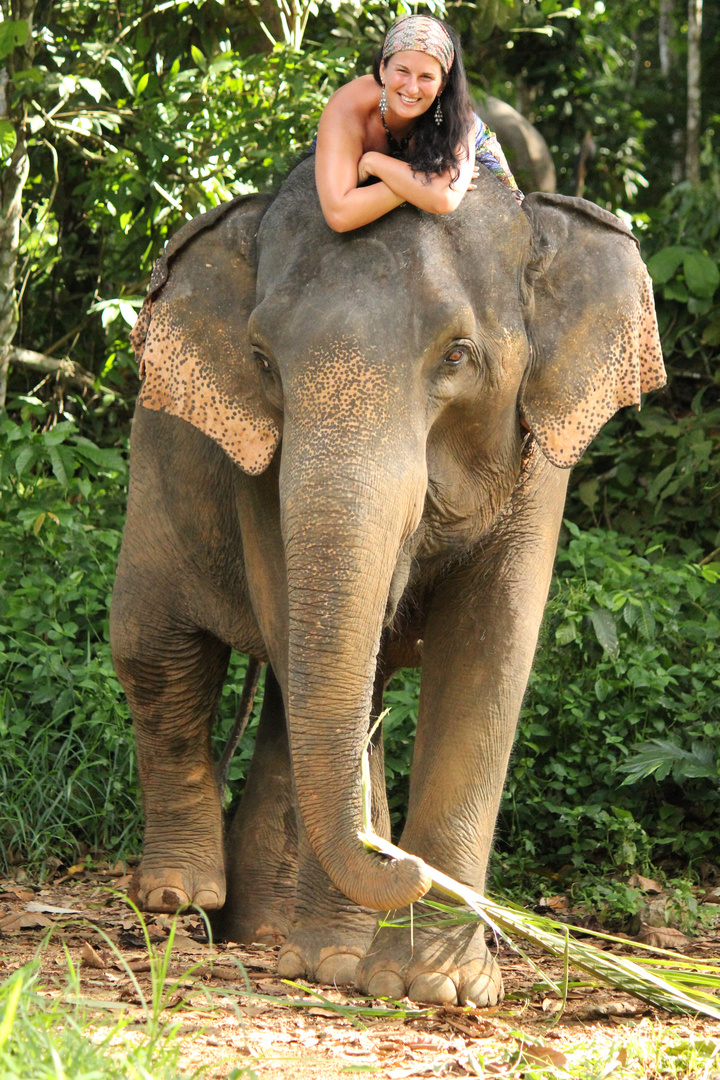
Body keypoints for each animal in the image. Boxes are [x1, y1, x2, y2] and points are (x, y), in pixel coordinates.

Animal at [110, 156, 669, 1006]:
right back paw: (182, 900)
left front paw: (438, 986)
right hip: (154, 479)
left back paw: (261, 930)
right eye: (263, 361)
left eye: (458, 355)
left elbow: (490, 651)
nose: (397, 858)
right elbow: (315, 636)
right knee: (159, 657)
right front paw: (336, 966)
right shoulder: (260, 463)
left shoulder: (540, 458)